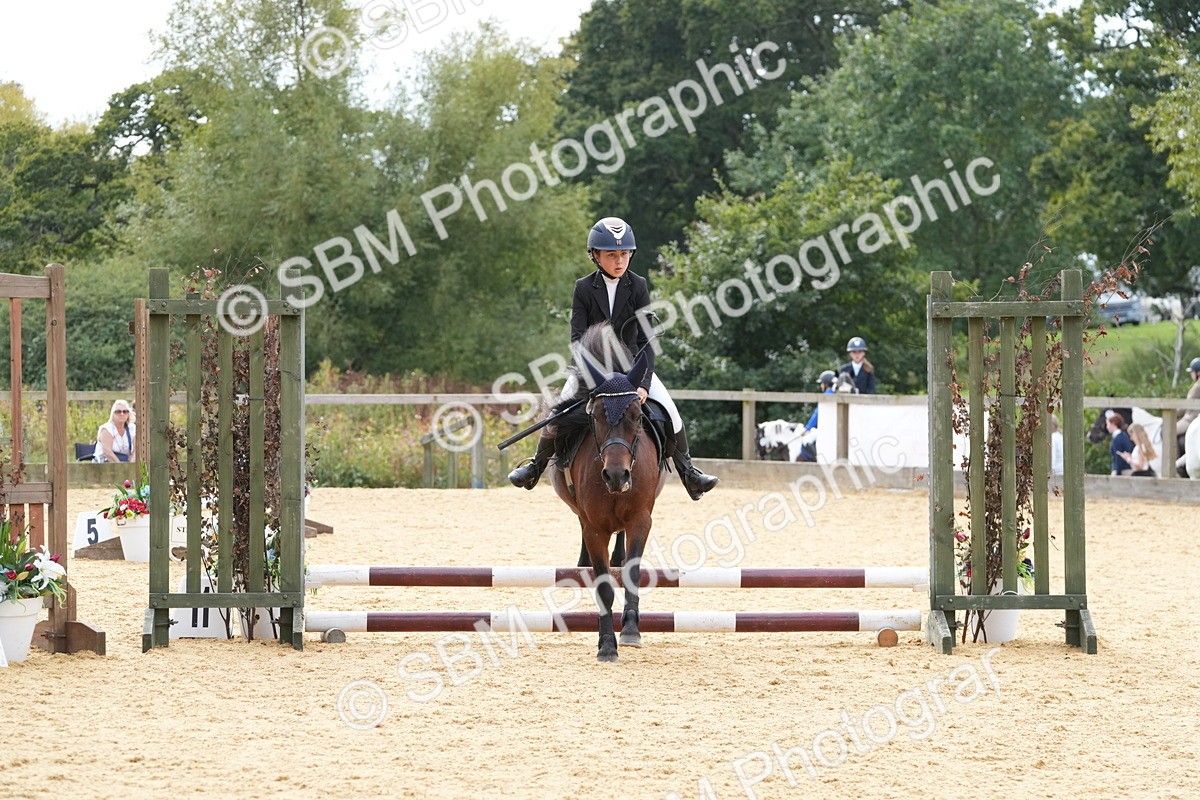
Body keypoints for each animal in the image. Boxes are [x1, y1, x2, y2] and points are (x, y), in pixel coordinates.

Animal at [548, 325, 665, 662]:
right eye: (597, 415)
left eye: (637, 415)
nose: (616, 475)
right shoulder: (595, 527)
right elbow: (603, 586)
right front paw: (606, 645)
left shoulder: (641, 519)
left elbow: (632, 573)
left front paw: (630, 630)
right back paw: (583, 562)